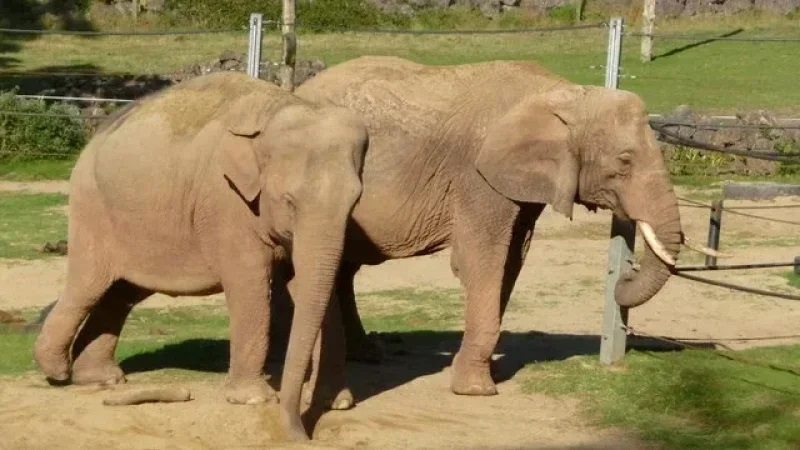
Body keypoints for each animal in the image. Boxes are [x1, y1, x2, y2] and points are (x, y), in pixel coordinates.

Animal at [32, 71, 368, 440]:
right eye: (289, 201)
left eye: (355, 201)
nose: (300, 434)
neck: (276, 111)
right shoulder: (225, 202)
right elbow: (250, 286)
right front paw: (253, 399)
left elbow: (312, 284)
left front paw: (337, 402)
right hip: (91, 209)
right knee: (87, 287)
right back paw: (58, 371)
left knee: (121, 294)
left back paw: (100, 378)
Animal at [269, 55, 717, 397]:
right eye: (624, 162)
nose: (621, 276)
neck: (564, 94)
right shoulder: (477, 174)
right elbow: (481, 260)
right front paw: (476, 389)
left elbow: (512, 261)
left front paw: (488, 373)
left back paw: (364, 353)